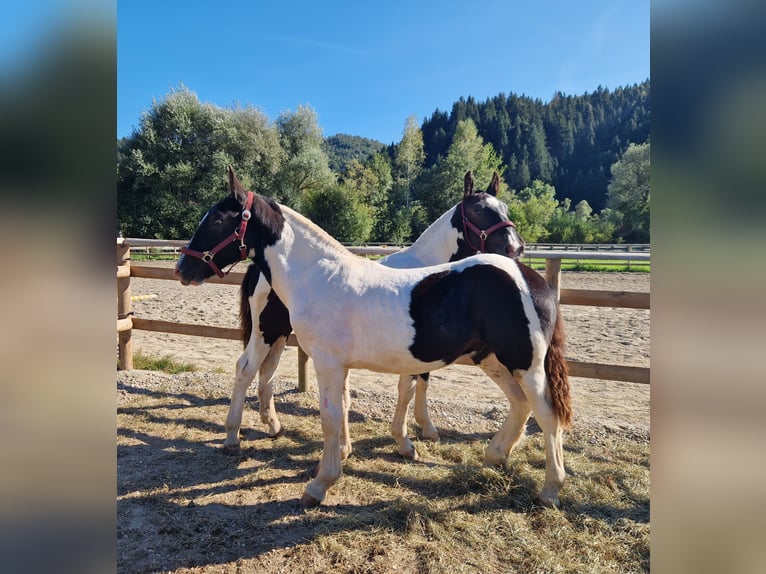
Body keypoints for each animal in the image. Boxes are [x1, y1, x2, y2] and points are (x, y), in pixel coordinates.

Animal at [226, 170, 525, 456]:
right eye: (477, 210)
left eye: (504, 207)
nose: (515, 247)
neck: (429, 272)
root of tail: (257, 269)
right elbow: (408, 389)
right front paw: (406, 441)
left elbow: (424, 383)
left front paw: (427, 429)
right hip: (266, 332)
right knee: (246, 368)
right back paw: (233, 436)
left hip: (279, 335)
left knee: (267, 371)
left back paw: (273, 425)